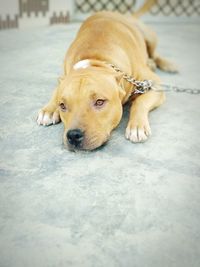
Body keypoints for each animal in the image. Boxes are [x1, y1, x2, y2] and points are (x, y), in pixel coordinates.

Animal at [36, 0, 177, 151]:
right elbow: (56, 90)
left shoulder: (156, 85)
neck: (95, 60)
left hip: (149, 36)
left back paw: (166, 64)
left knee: (155, 54)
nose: (73, 135)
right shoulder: (64, 76)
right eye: (62, 105)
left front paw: (137, 126)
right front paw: (49, 109)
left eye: (99, 102)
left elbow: (140, 102)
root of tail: (126, 16)